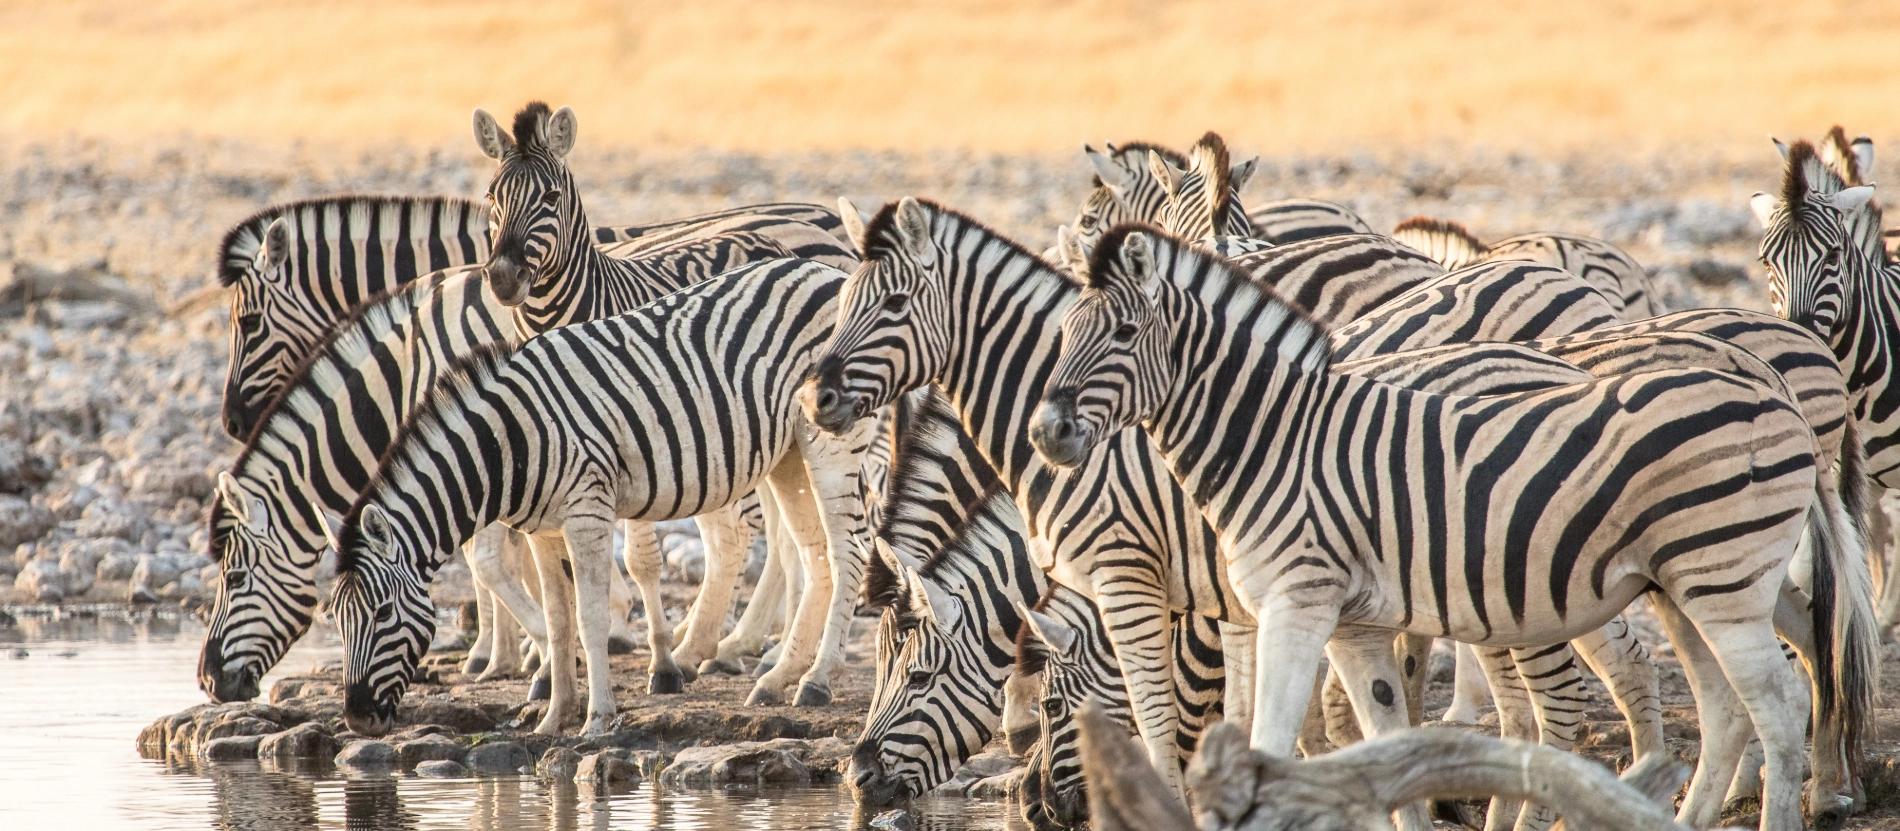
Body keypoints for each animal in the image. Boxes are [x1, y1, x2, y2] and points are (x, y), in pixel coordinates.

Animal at [326, 256, 874, 730]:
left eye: (381, 613)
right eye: (338, 619)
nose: (357, 719)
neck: (511, 442)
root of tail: (824, 269)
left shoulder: (587, 512)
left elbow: (589, 619)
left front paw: (597, 718)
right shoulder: (542, 532)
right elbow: (559, 621)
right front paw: (553, 719)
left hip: (830, 443)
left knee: (847, 553)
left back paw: (817, 680)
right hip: (788, 455)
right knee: (816, 556)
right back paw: (780, 678)